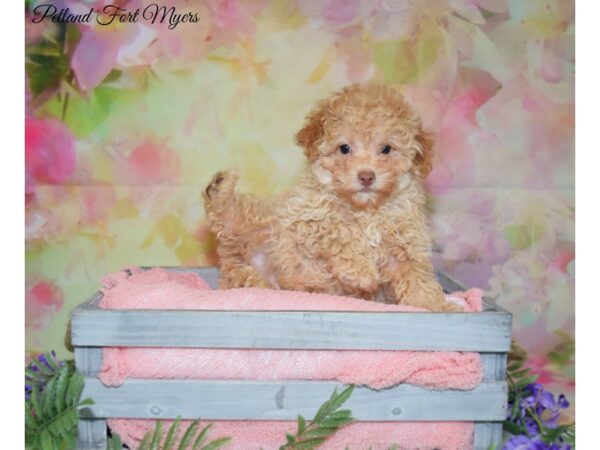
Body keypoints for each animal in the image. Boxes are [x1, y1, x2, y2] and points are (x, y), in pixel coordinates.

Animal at [204, 82, 458, 312]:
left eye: (386, 149)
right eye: (344, 148)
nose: (366, 176)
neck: (366, 209)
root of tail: (232, 259)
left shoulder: (405, 246)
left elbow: (417, 280)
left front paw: (438, 306)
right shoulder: (303, 220)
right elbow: (338, 230)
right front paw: (361, 271)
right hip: (261, 219)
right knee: (228, 216)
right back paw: (218, 187)